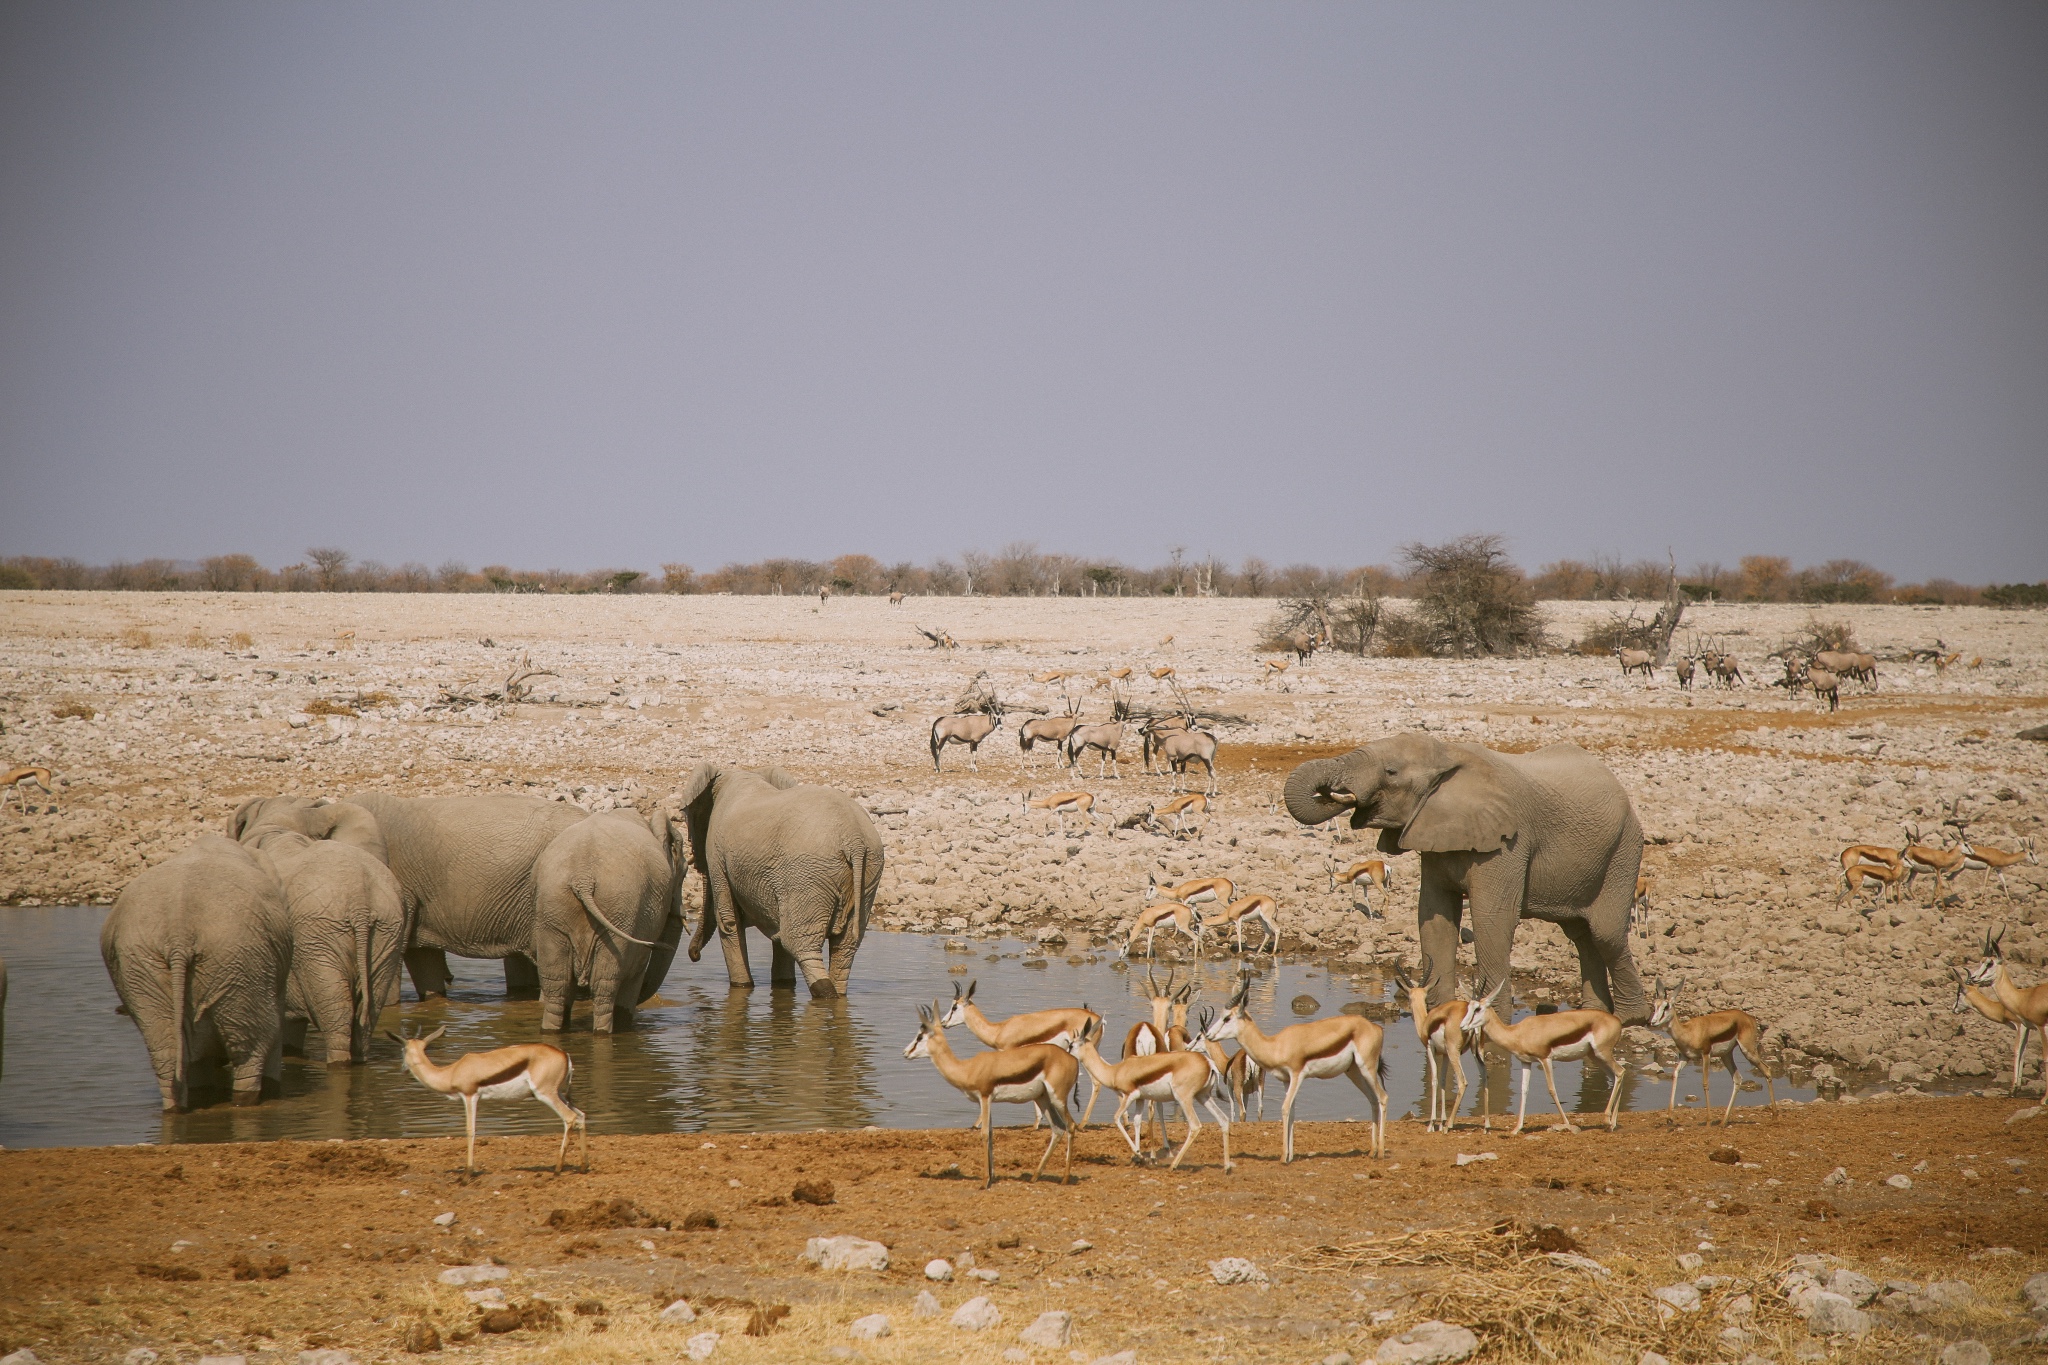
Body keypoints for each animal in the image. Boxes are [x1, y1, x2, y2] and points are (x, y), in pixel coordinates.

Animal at [102, 834, 292, 1113]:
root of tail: (178, 931)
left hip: (141, 965)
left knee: (167, 1054)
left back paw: (178, 1108)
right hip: (238, 957)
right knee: (253, 1047)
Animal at [528, 806, 688, 1031]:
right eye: (685, 872)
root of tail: (583, 878)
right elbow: (635, 973)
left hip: (553, 908)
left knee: (557, 986)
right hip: (620, 910)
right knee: (604, 987)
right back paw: (604, 1032)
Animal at [679, 765, 888, 998]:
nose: (694, 955)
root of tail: (855, 840)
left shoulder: (717, 853)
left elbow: (728, 920)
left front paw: (742, 986)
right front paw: (782, 985)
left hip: (808, 873)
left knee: (799, 943)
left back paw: (824, 992)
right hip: (869, 871)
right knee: (844, 947)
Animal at [1277, 736, 1646, 1023]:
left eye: (1391, 771)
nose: (1334, 794)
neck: (1448, 753)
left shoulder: (1507, 842)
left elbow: (1492, 919)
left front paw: (1492, 1021)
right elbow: (1434, 915)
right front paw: (1439, 1013)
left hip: (1624, 850)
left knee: (1606, 934)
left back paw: (1632, 1019)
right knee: (1582, 935)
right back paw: (1595, 1015)